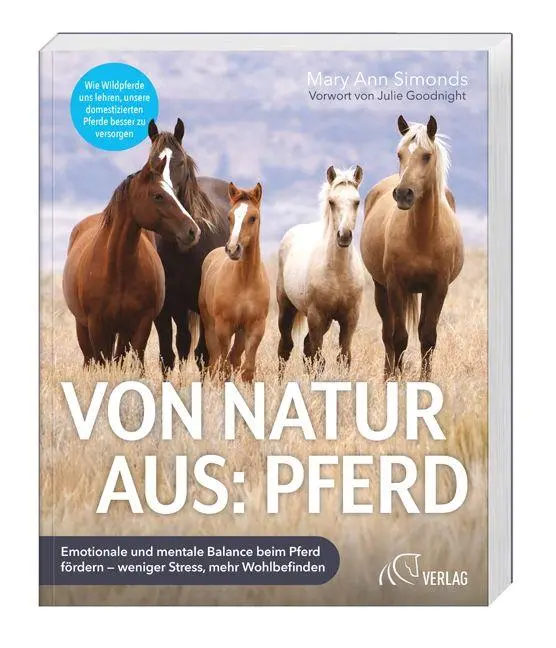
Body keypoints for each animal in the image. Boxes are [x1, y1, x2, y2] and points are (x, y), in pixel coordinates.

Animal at [62, 151, 201, 368]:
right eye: (158, 196)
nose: (193, 231)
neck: (118, 269)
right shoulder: (96, 324)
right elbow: (102, 361)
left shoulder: (140, 324)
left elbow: (134, 360)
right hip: (83, 326)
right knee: (89, 359)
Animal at [146, 119, 230, 374]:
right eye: (152, 163)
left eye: (180, 162)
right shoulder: (164, 310)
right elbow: (167, 355)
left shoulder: (201, 306)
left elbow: (202, 354)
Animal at [198, 182, 269, 382]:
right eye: (229, 217)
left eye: (253, 218)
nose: (232, 249)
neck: (245, 281)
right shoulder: (223, 327)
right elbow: (222, 366)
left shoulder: (255, 326)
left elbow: (247, 369)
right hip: (210, 325)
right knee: (215, 361)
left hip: (240, 332)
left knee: (234, 359)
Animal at [276, 165, 366, 371]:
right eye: (332, 202)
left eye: (357, 202)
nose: (344, 235)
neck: (339, 273)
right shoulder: (316, 316)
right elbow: (319, 359)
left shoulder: (350, 318)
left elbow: (344, 358)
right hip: (286, 309)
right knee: (285, 348)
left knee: (306, 347)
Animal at [360, 115, 464, 380]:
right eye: (400, 154)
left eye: (426, 155)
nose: (403, 194)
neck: (422, 236)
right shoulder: (396, 285)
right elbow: (399, 338)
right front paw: (395, 379)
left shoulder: (438, 288)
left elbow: (428, 337)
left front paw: (425, 380)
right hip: (381, 288)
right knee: (388, 333)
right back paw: (388, 374)